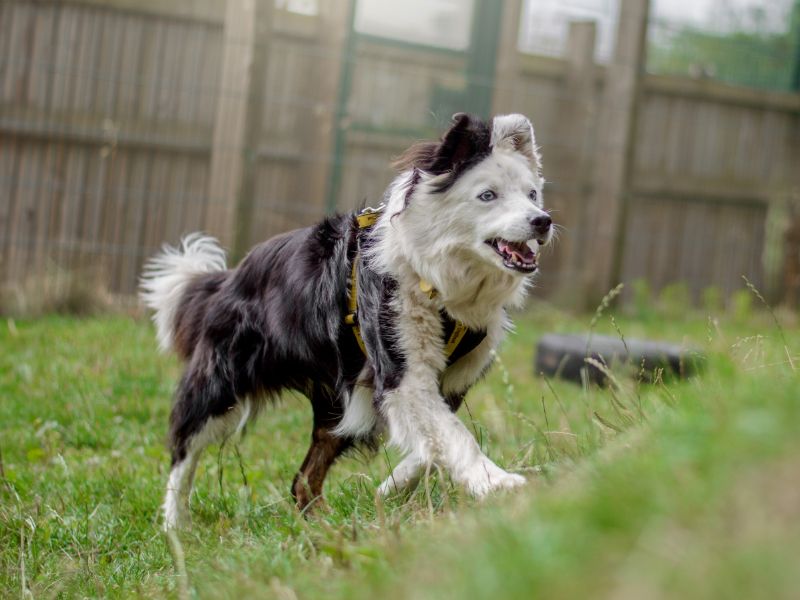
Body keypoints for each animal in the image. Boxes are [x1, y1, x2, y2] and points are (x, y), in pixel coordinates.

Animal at [142, 113, 552, 528]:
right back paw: (175, 525)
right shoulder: (400, 371)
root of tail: (231, 277)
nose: (543, 222)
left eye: (532, 194)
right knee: (185, 449)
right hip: (221, 384)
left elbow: (434, 440)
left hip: (345, 401)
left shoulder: (449, 380)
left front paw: (392, 487)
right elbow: (455, 436)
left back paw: (321, 527)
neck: (439, 276)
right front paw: (497, 482)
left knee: (304, 478)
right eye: (488, 196)